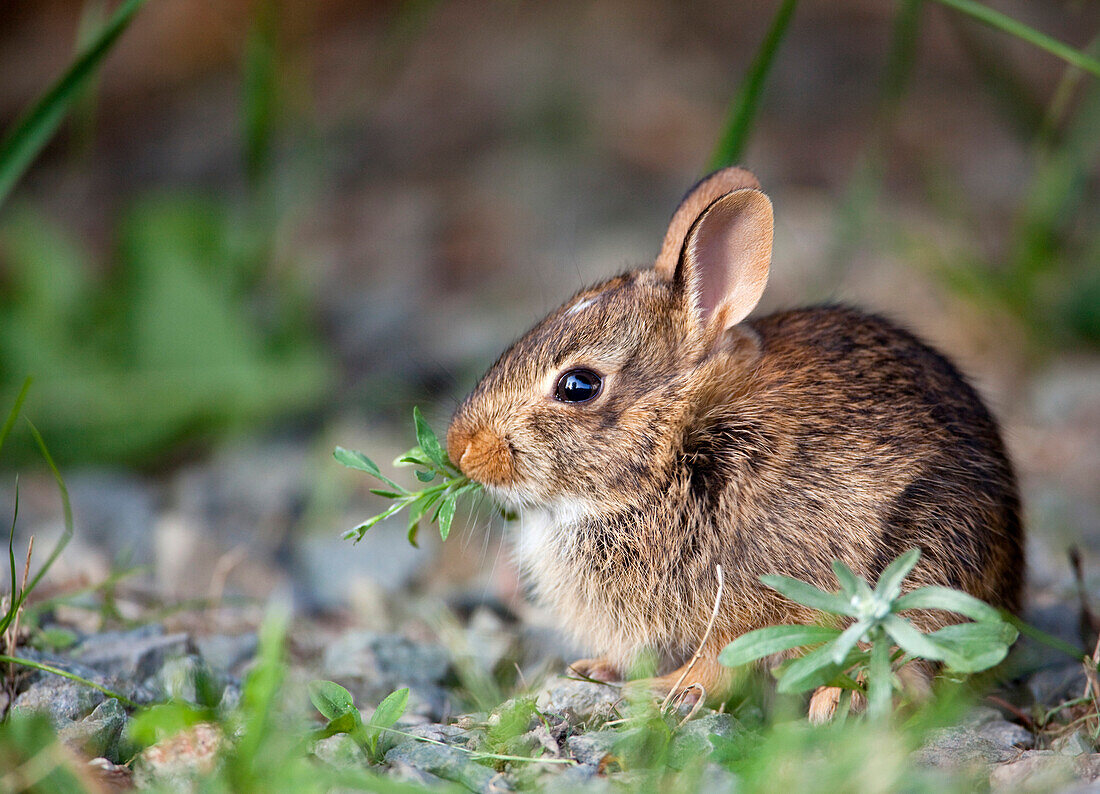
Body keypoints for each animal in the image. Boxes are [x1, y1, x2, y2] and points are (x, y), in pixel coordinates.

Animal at [444, 167, 1020, 717]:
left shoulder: (745, 604)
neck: (679, 443)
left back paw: (835, 703)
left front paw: (664, 691)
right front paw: (596, 670)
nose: (461, 449)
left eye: (578, 386)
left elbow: (719, 664)